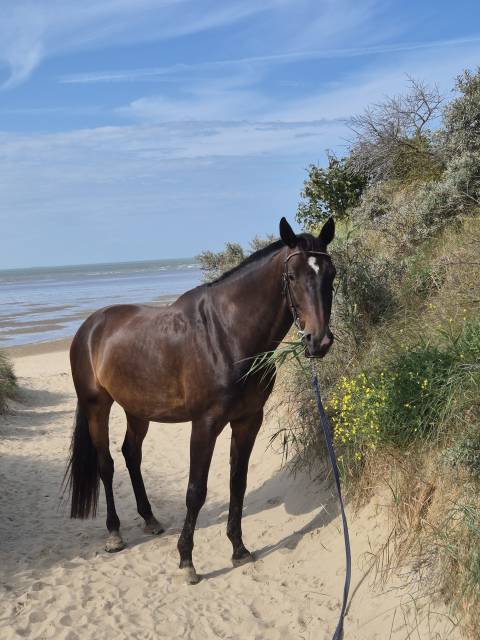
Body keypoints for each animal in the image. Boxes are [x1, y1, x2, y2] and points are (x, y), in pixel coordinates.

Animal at [65, 216, 336, 584]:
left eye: (331, 274)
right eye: (292, 276)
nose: (318, 340)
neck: (227, 335)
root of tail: (89, 327)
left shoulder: (248, 420)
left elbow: (238, 482)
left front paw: (238, 549)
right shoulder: (205, 424)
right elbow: (196, 491)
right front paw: (186, 561)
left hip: (138, 410)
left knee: (131, 455)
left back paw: (150, 519)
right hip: (97, 406)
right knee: (106, 465)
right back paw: (114, 533)